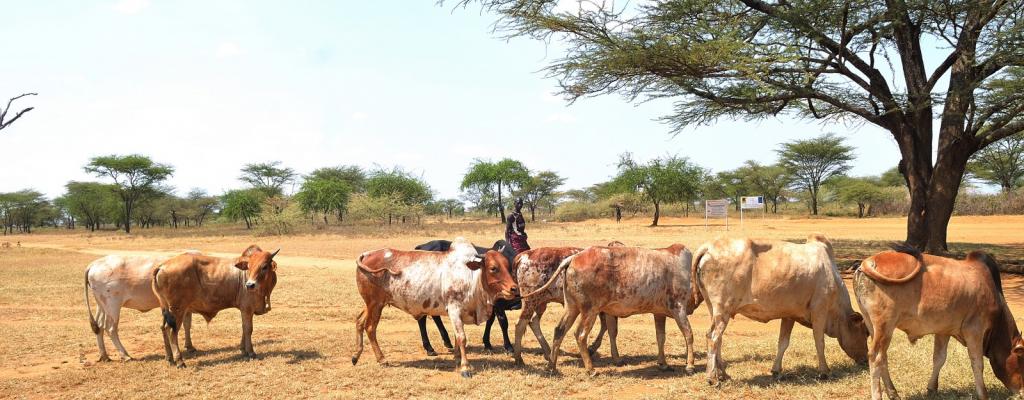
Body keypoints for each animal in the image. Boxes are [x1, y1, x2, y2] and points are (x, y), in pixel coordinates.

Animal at [151, 245, 280, 368]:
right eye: (249, 266)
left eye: (264, 267)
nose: (249, 285)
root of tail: (161, 266)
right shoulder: (247, 308)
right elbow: (248, 329)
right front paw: (251, 352)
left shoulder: (245, 310)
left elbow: (244, 328)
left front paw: (243, 350)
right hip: (177, 310)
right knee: (171, 331)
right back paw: (179, 361)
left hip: (167, 310)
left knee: (163, 328)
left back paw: (169, 358)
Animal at [356, 238, 524, 378]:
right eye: (493, 268)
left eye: (508, 266)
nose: (514, 289)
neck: (471, 276)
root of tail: (367, 254)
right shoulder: (455, 309)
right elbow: (462, 337)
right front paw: (465, 368)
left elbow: (457, 337)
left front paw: (457, 359)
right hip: (375, 304)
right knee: (370, 328)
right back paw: (382, 359)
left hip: (371, 304)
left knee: (359, 321)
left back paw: (356, 355)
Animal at [532, 244, 700, 376]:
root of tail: (573, 258)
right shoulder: (678, 308)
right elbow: (689, 334)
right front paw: (690, 366)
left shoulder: (659, 313)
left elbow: (660, 338)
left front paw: (663, 364)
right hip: (590, 310)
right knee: (580, 335)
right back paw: (590, 369)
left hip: (572, 307)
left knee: (559, 331)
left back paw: (551, 366)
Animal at [692, 233, 868, 386]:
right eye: (866, 332)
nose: (865, 360)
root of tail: (709, 247)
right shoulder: (820, 310)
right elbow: (819, 342)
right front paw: (824, 371)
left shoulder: (789, 315)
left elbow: (783, 343)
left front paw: (776, 371)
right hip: (723, 309)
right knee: (713, 337)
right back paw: (712, 377)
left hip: (714, 309)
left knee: (718, 339)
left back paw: (723, 374)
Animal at [856, 244, 1024, 400]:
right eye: (1022, 360)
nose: (1022, 391)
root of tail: (868, 261)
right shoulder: (974, 330)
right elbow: (977, 363)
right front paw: (983, 395)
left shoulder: (944, 331)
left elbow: (939, 358)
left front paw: (932, 388)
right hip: (885, 326)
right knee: (875, 357)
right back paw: (878, 395)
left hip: (874, 326)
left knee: (883, 357)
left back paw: (894, 393)